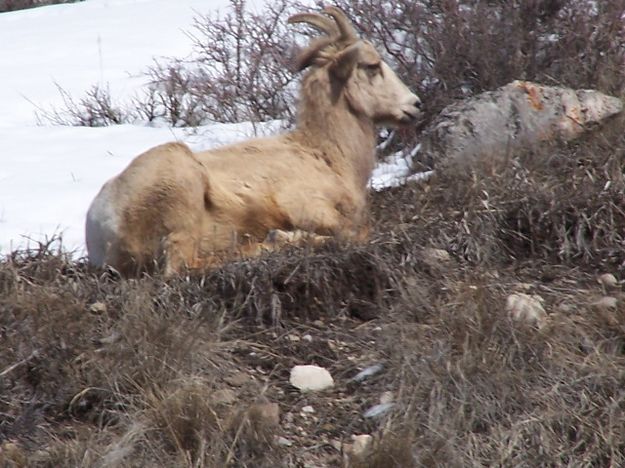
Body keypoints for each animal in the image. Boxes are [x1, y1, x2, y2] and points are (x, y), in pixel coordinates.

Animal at [85, 7, 422, 274]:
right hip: (182, 194)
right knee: (182, 266)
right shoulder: (308, 207)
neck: (327, 156)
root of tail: (100, 224)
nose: (415, 105)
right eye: (372, 66)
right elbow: (353, 232)